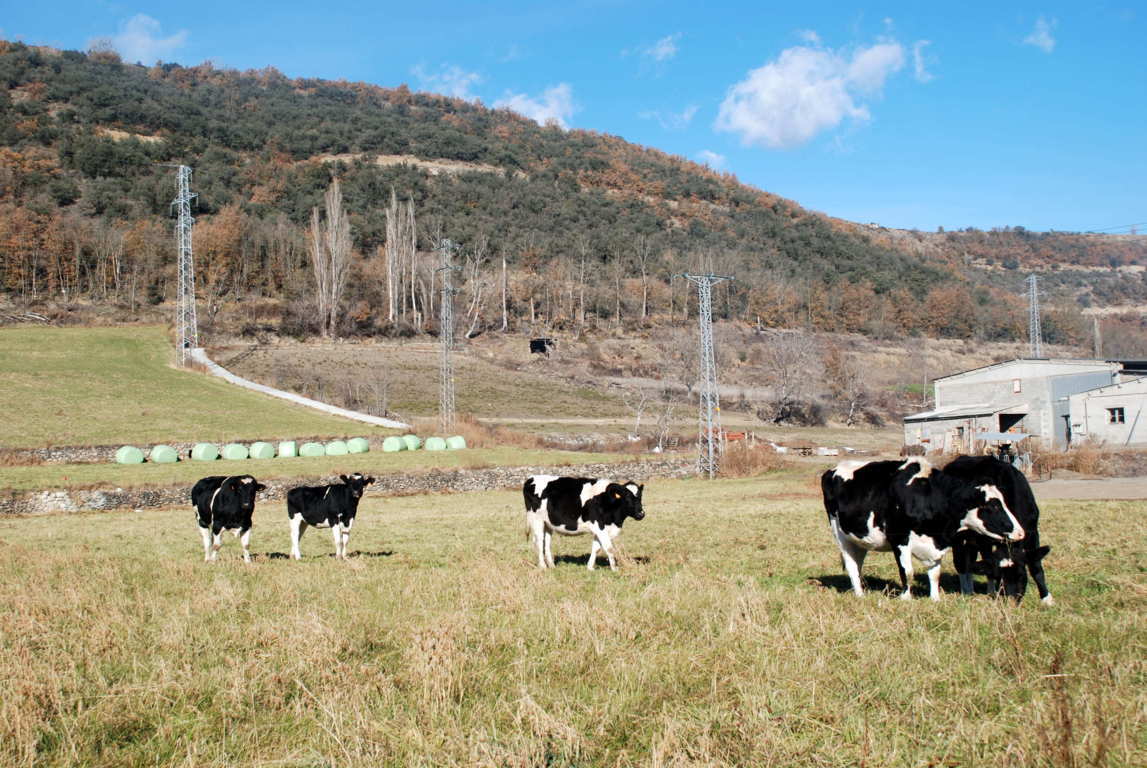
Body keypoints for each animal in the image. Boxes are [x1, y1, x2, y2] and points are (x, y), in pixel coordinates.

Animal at [821, 458, 1027, 600]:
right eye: (992, 506)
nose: (1020, 532)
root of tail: (833, 470)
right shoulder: (899, 538)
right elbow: (907, 571)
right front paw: (906, 598)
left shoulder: (935, 544)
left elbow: (935, 573)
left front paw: (935, 598)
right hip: (840, 535)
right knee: (851, 564)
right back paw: (859, 594)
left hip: (859, 538)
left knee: (858, 562)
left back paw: (862, 588)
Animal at [940, 458, 1055, 609]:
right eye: (1000, 577)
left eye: (1021, 575)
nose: (1011, 602)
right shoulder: (984, 540)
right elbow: (988, 566)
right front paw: (992, 593)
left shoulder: (1032, 532)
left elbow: (1036, 566)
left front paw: (1046, 597)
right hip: (959, 538)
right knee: (961, 563)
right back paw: (968, 591)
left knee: (970, 560)